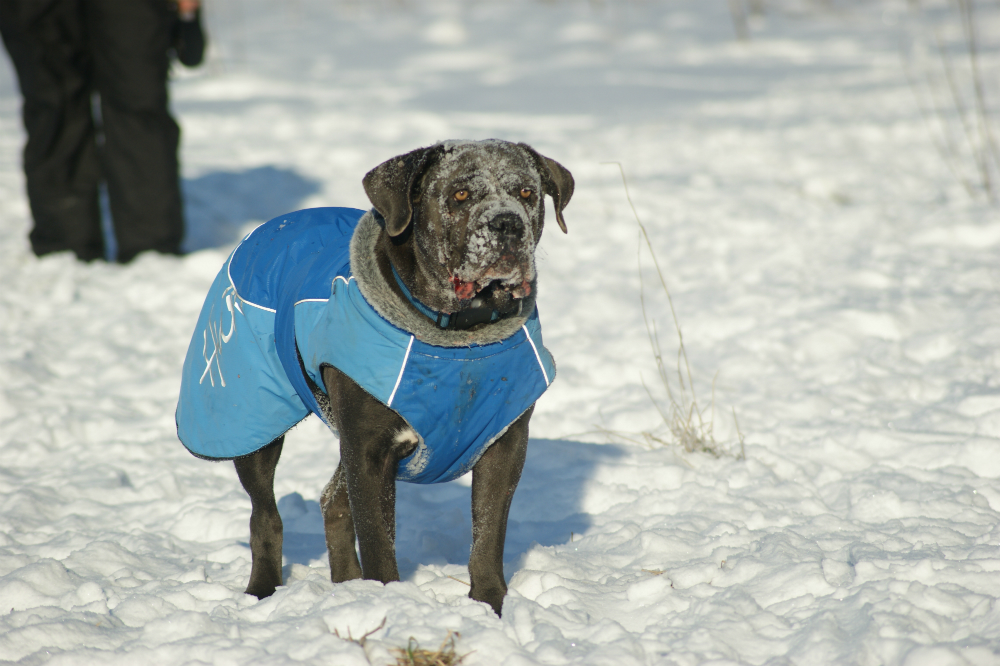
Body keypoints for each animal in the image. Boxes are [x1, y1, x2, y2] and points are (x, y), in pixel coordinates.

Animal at [176, 139, 576, 612]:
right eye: (460, 194)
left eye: (527, 193)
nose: (507, 223)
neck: (459, 334)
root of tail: (269, 226)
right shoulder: (369, 450)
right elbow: (378, 541)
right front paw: (389, 603)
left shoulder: (504, 443)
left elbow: (487, 537)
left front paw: (489, 606)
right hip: (249, 417)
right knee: (265, 515)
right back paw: (263, 590)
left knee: (332, 501)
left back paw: (347, 588)